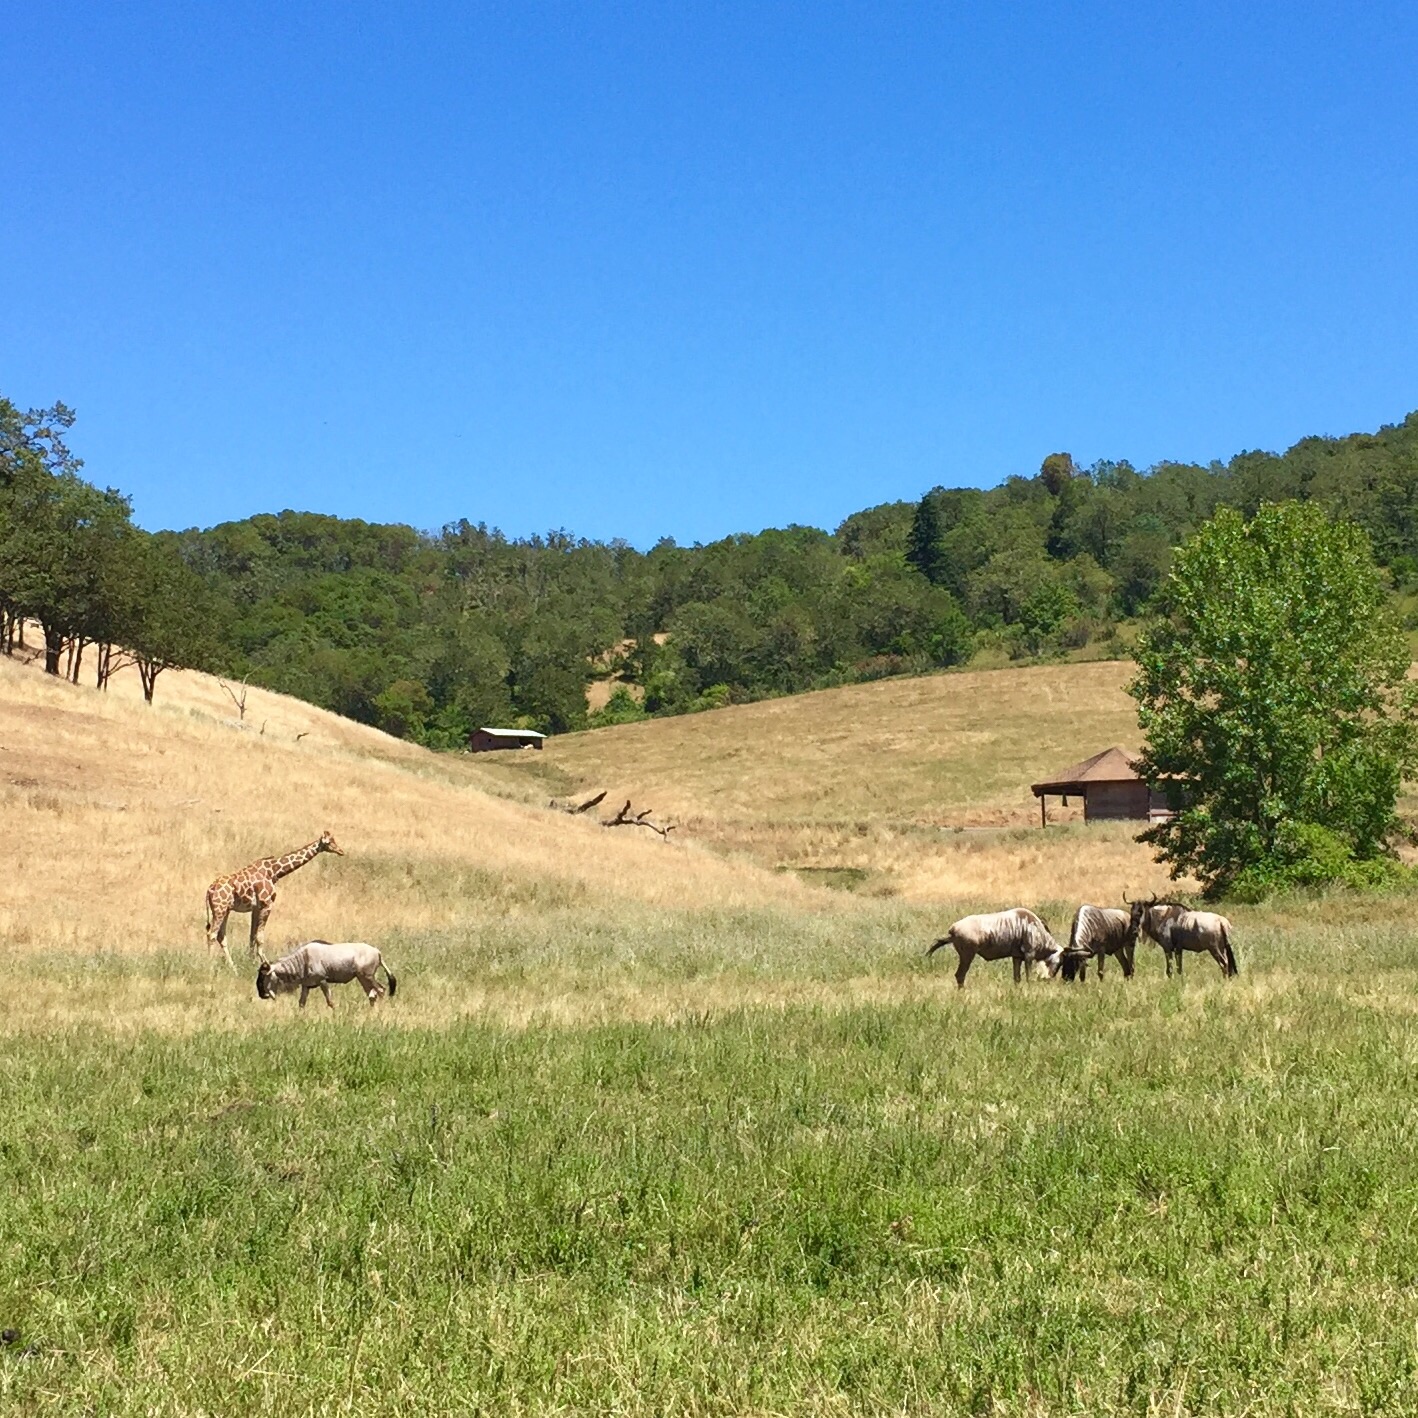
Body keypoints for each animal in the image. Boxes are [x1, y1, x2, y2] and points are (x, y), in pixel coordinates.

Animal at [204, 830, 345, 968]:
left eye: (334, 840)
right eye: (330, 842)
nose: (341, 851)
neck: (274, 871)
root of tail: (209, 890)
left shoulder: (256, 907)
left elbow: (252, 935)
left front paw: (250, 961)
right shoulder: (267, 904)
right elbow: (260, 937)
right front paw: (265, 964)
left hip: (225, 910)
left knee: (221, 936)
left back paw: (233, 967)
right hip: (220, 909)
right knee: (211, 934)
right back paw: (210, 965)